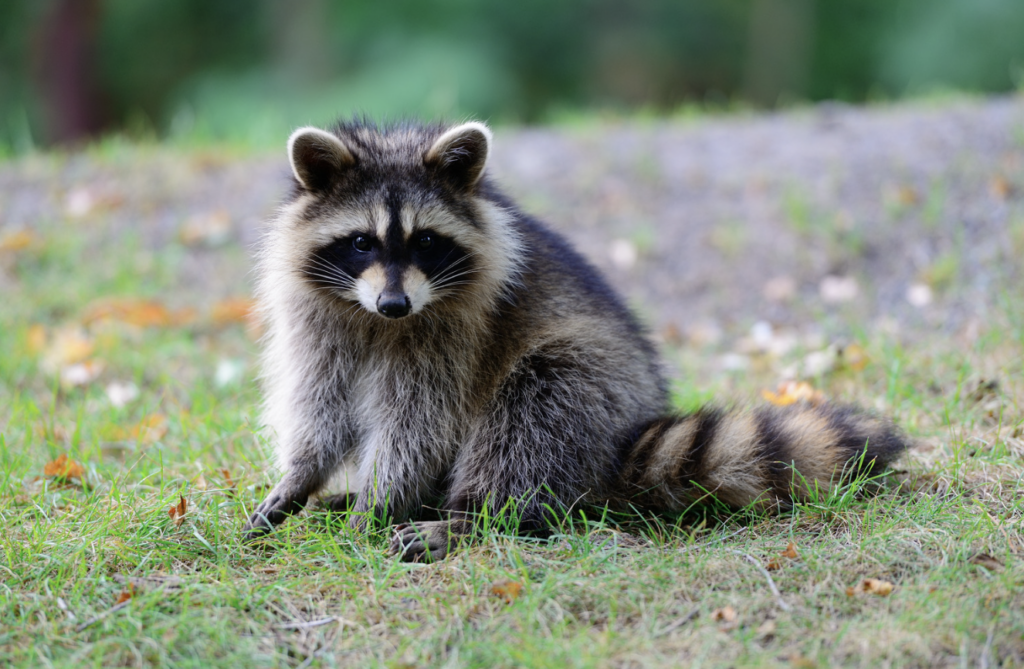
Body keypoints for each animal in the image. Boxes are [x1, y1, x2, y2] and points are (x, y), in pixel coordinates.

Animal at [243, 120, 908, 561]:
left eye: (426, 241)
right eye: (361, 242)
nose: (395, 304)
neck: (376, 320)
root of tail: (628, 436)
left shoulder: (454, 331)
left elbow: (418, 422)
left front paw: (382, 501)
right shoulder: (318, 318)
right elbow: (320, 404)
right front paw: (302, 476)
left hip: (590, 383)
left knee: (533, 414)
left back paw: (470, 516)